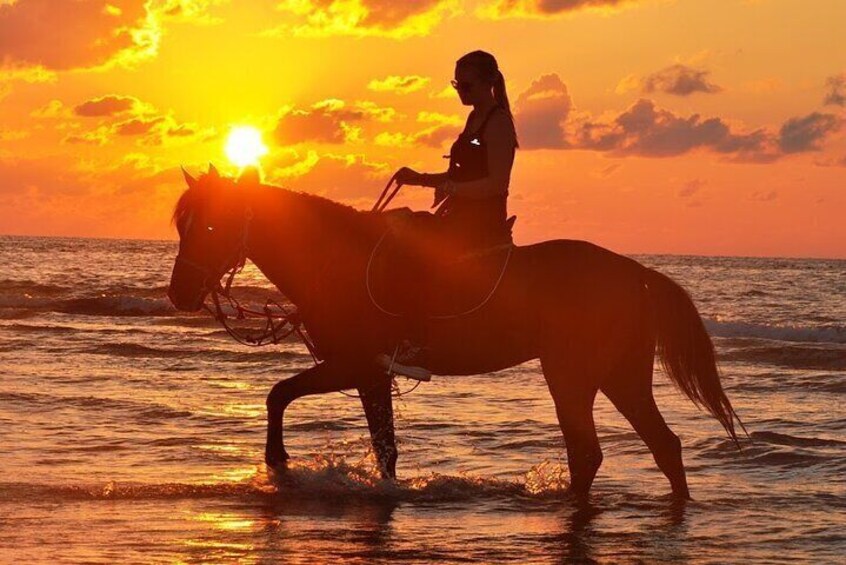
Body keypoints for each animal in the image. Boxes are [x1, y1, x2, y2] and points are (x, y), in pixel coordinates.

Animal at [169, 167, 744, 498]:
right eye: (181, 225)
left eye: (213, 225)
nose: (179, 294)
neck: (336, 259)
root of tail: (635, 272)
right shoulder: (368, 376)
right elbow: (383, 448)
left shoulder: (356, 366)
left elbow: (279, 394)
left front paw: (279, 463)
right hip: (618, 376)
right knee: (658, 446)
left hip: (574, 375)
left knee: (594, 451)